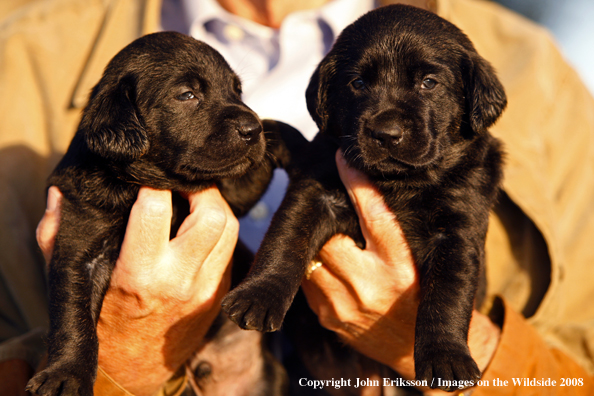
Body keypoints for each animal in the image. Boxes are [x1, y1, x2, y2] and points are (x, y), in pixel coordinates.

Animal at [27, 31, 296, 396]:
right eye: (187, 95)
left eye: (237, 90)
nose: (251, 129)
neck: (157, 183)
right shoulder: (80, 239)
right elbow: (73, 315)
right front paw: (65, 373)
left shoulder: (231, 195)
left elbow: (253, 170)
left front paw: (283, 136)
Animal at [222, 4, 504, 392]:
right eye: (357, 84)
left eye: (429, 83)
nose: (386, 133)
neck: (399, 183)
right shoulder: (315, 190)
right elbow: (286, 241)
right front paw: (258, 296)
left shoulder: (458, 230)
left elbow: (448, 294)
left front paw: (447, 358)